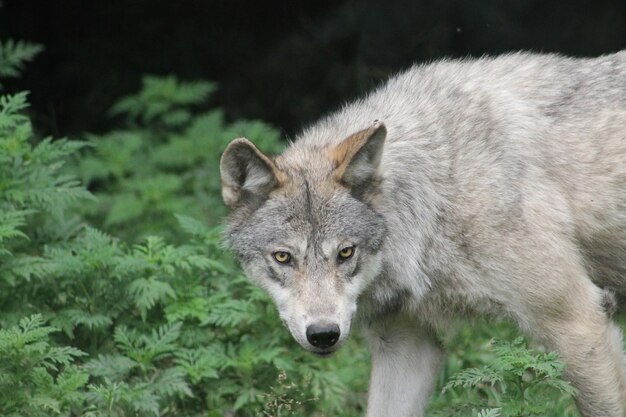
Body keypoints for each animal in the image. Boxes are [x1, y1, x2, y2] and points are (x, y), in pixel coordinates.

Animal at [219, 50, 624, 414]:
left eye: (345, 253)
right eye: (283, 257)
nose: (323, 334)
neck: (437, 195)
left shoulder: (577, 321)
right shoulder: (405, 343)